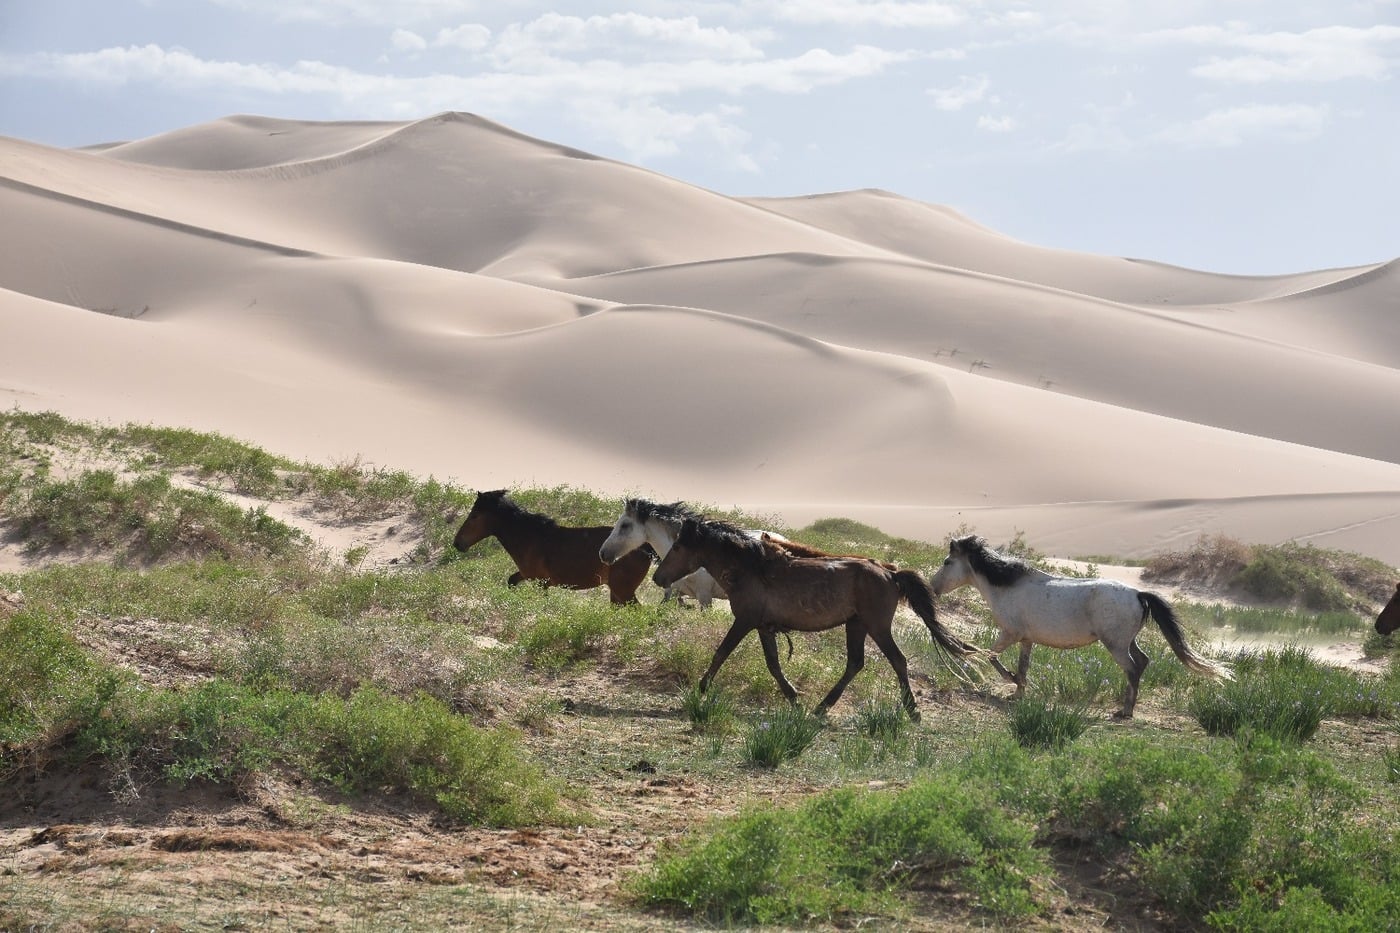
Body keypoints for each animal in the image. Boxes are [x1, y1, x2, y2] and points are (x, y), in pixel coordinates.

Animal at [453, 490, 653, 605]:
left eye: (475, 515)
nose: (457, 543)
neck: (530, 538)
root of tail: (646, 547)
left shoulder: (541, 582)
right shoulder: (527, 576)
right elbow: (511, 581)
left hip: (623, 590)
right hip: (617, 591)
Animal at [653, 517, 980, 721]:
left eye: (679, 546)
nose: (658, 577)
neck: (752, 569)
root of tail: (890, 572)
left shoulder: (745, 621)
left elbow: (722, 652)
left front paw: (701, 688)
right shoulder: (764, 628)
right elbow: (773, 664)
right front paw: (794, 699)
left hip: (877, 626)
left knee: (897, 661)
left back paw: (912, 711)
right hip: (856, 625)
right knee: (855, 664)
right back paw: (822, 707)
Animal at [929, 534, 1233, 718]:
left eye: (947, 561)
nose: (932, 587)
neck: (1007, 586)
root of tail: (1138, 594)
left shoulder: (1010, 634)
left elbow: (991, 656)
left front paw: (1011, 681)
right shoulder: (1026, 639)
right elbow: (1023, 665)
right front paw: (1018, 692)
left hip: (1116, 646)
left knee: (1133, 668)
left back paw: (1124, 712)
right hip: (1128, 641)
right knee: (1143, 661)